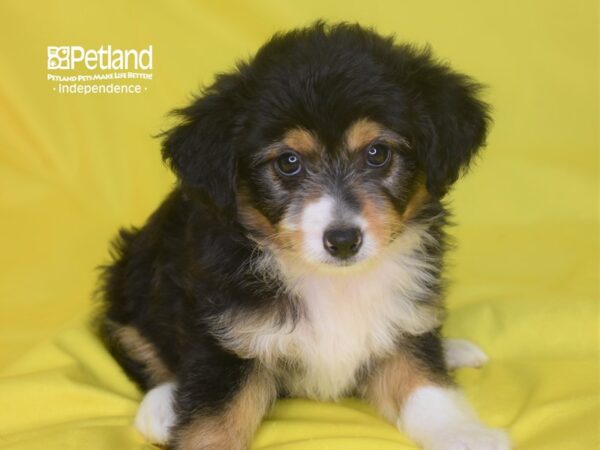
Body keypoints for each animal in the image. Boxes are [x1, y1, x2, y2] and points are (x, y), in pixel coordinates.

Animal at [99, 22, 510, 450]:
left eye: (377, 153)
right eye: (288, 162)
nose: (343, 241)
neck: (331, 282)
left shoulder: (404, 314)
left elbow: (423, 381)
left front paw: (461, 433)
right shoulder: (225, 337)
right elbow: (213, 419)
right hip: (132, 273)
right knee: (136, 344)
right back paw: (161, 407)